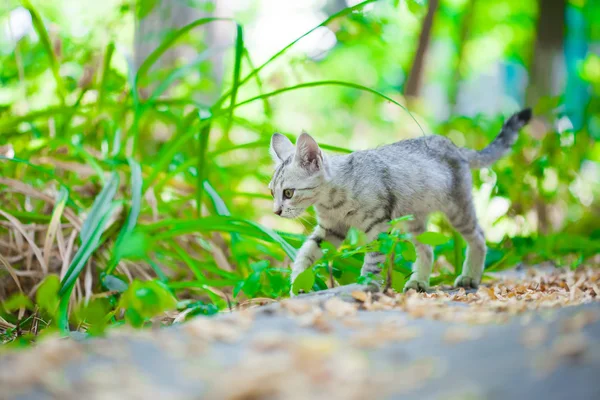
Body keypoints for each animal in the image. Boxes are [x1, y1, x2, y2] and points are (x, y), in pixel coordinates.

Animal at [270, 109, 532, 294]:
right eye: (272, 192)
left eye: (289, 193)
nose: (276, 212)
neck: (333, 201)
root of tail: (455, 146)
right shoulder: (330, 229)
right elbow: (306, 253)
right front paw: (297, 284)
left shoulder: (378, 225)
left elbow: (372, 260)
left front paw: (367, 285)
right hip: (414, 219)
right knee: (427, 249)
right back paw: (419, 282)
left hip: (458, 209)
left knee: (478, 236)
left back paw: (470, 277)